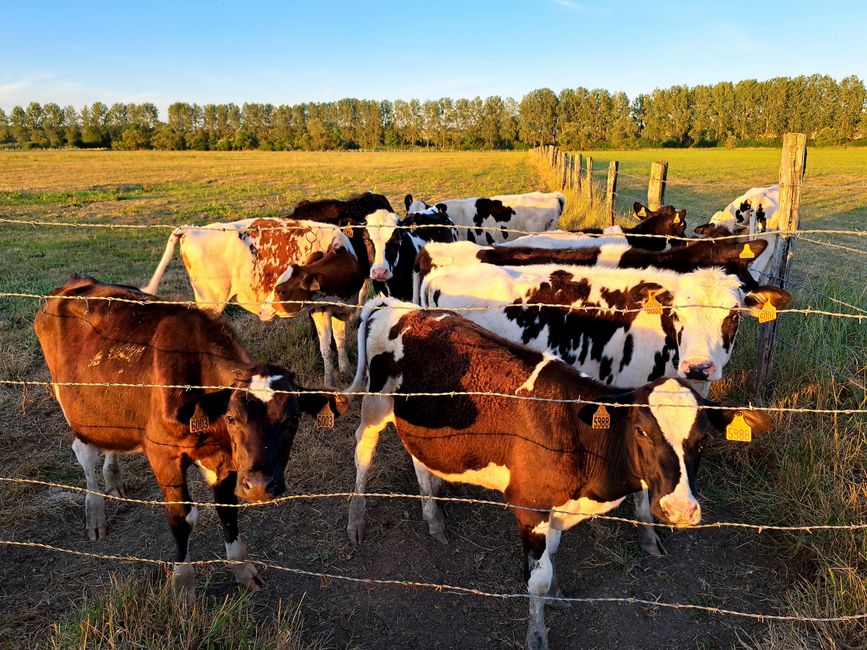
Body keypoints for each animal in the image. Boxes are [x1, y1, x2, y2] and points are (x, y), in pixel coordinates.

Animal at [34, 276, 346, 598]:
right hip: (72, 405)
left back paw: (114, 479)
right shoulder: (163, 455)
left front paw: (243, 570)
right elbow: (182, 518)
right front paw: (183, 585)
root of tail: (80, 282)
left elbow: (227, 509)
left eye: (294, 419)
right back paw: (95, 512)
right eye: (232, 418)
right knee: (84, 451)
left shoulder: (227, 459)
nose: (260, 486)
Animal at [140, 217, 359, 385]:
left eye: (282, 290)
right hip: (210, 301)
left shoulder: (343, 308)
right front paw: (330, 383)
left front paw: (346, 371)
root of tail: (191, 229)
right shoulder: (318, 308)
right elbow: (326, 347)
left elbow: (340, 339)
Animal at [344, 297, 773, 650]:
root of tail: (398, 305)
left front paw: (556, 595)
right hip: (375, 403)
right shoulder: (529, 507)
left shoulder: (558, 509)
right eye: (641, 431)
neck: (578, 434)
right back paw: (356, 522)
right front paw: (537, 635)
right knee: (363, 453)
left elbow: (551, 558)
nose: (680, 509)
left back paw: (434, 519)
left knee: (419, 459)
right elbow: (538, 577)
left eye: (703, 438)